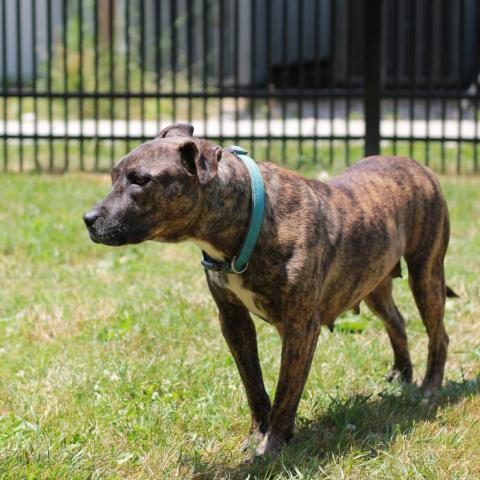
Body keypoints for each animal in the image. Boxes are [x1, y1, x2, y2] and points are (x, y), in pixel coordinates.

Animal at [83, 123, 458, 458]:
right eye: (114, 175)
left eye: (140, 180)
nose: (89, 218)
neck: (247, 218)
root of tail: (415, 163)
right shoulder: (233, 320)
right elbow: (254, 384)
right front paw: (259, 434)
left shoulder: (300, 328)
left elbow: (285, 390)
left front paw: (273, 444)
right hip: (372, 281)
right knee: (396, 320)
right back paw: (402, 374)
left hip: (426, 272)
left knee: (437, 332)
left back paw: (429, 387)